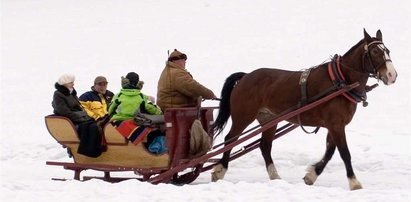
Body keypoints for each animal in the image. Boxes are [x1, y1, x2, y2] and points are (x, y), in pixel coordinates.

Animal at [211, 29, 398, 190]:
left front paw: (312, 175)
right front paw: (354, 182)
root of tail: (246, 76)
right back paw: (220, 170)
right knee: (230, 139)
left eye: (387, 50)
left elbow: (330, 152)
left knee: (265, 146)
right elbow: (344, 153)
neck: (342, 80)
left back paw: (275, 176)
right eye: (375, 52)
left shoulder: (335, 125)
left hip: (269, 119)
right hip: (243, 116)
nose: (392, 75)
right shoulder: (336, 125)